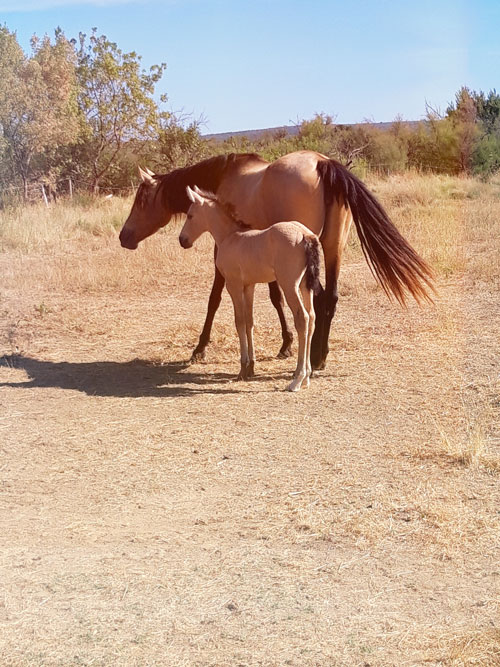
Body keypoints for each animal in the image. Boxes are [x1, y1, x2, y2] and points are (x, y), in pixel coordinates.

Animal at [118, 151, 434, 370]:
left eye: (141, 200)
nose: (124, 236)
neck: (222, 177)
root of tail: (323, 163)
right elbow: (274, 297)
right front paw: (286, 344)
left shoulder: (225, 253)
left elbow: (215, 299)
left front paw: (200, 348)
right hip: (333, 249)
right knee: (329, 298)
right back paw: (321, 355)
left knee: (316, 299)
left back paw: (313, 357)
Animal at [180, 185, 320, 392]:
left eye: (190, 215)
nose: (182, 240)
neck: (230, 237)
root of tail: (305, 235)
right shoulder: (249, 286)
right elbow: (249, 322)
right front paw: (251, 367)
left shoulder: (234, 285)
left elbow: (239, 322)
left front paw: (243, 368)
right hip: (304, 285)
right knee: (311, 317)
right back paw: (306, 377)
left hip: (289, 285)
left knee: (302, 318)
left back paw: (297, 379)